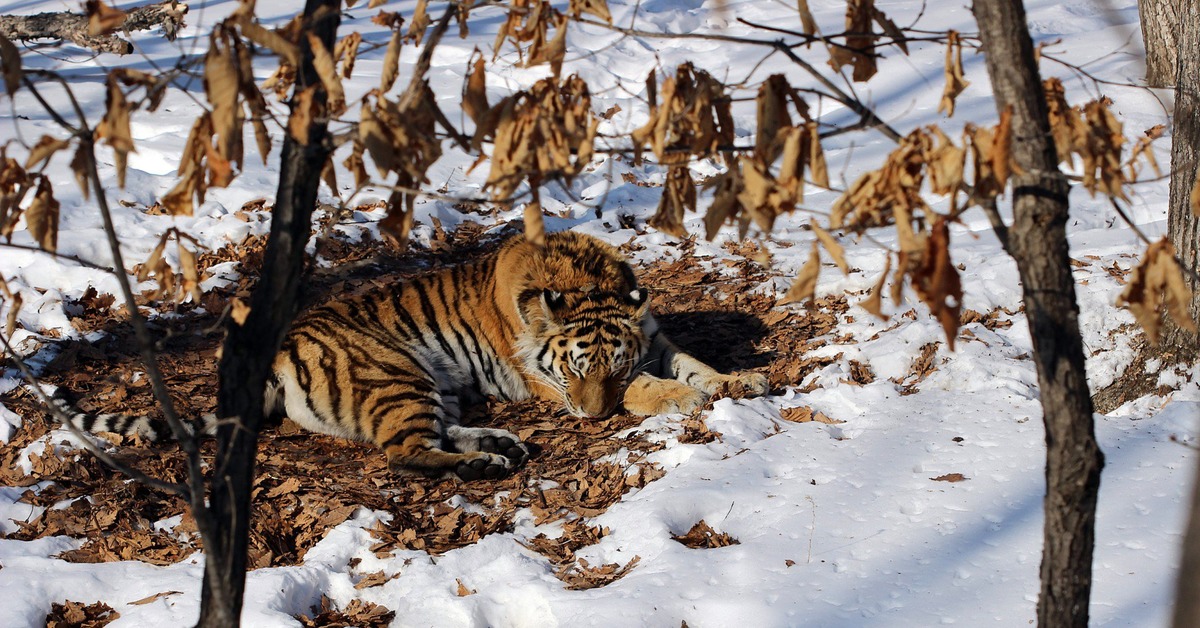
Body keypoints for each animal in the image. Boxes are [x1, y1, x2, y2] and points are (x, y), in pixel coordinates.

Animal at [51, 230, 768, 482]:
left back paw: (499, 445)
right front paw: (680, 398)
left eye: (612, 364)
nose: (593, 420)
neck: (584, 281)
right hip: (396, 374)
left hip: (429, 383)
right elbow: (654, 389)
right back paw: (484, 465)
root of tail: (282, 352)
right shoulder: (545, 382)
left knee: (436, 433)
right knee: (403, 451)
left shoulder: (654, 336)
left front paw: (740, 382)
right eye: (573, 372)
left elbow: (692, 362)